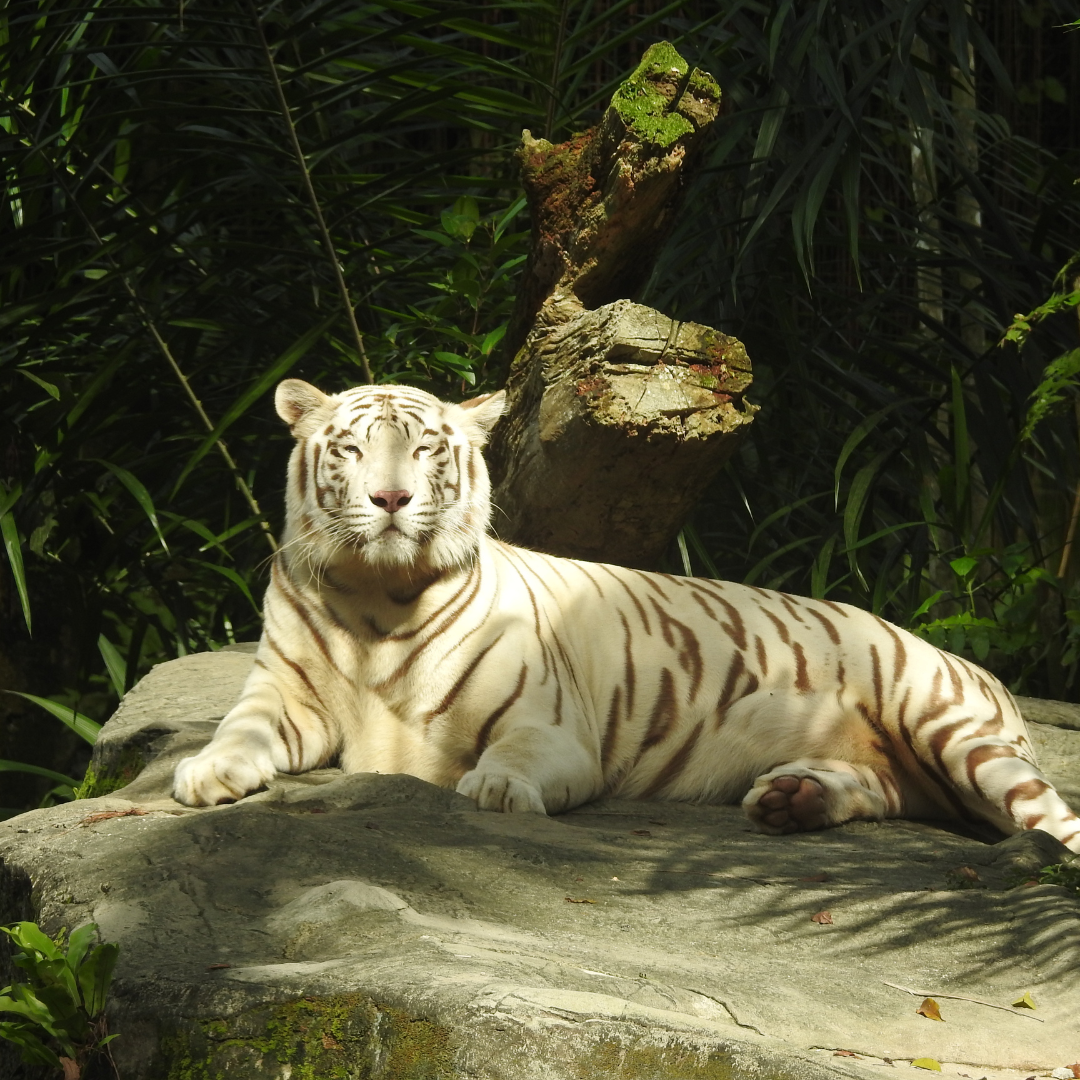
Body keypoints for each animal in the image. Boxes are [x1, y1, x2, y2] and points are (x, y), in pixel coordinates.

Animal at [173, 378, 1080, 854]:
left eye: (426, 449)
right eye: (352, 449)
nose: (390, 499)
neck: (376, 597)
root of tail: (982, 668)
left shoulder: (551, 725)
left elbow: (512, 757)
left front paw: (496, 787)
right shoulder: (283, 692)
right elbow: (240, 730)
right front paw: (207, 771)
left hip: (948, 727)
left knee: (1047, 818)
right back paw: (794, 801)